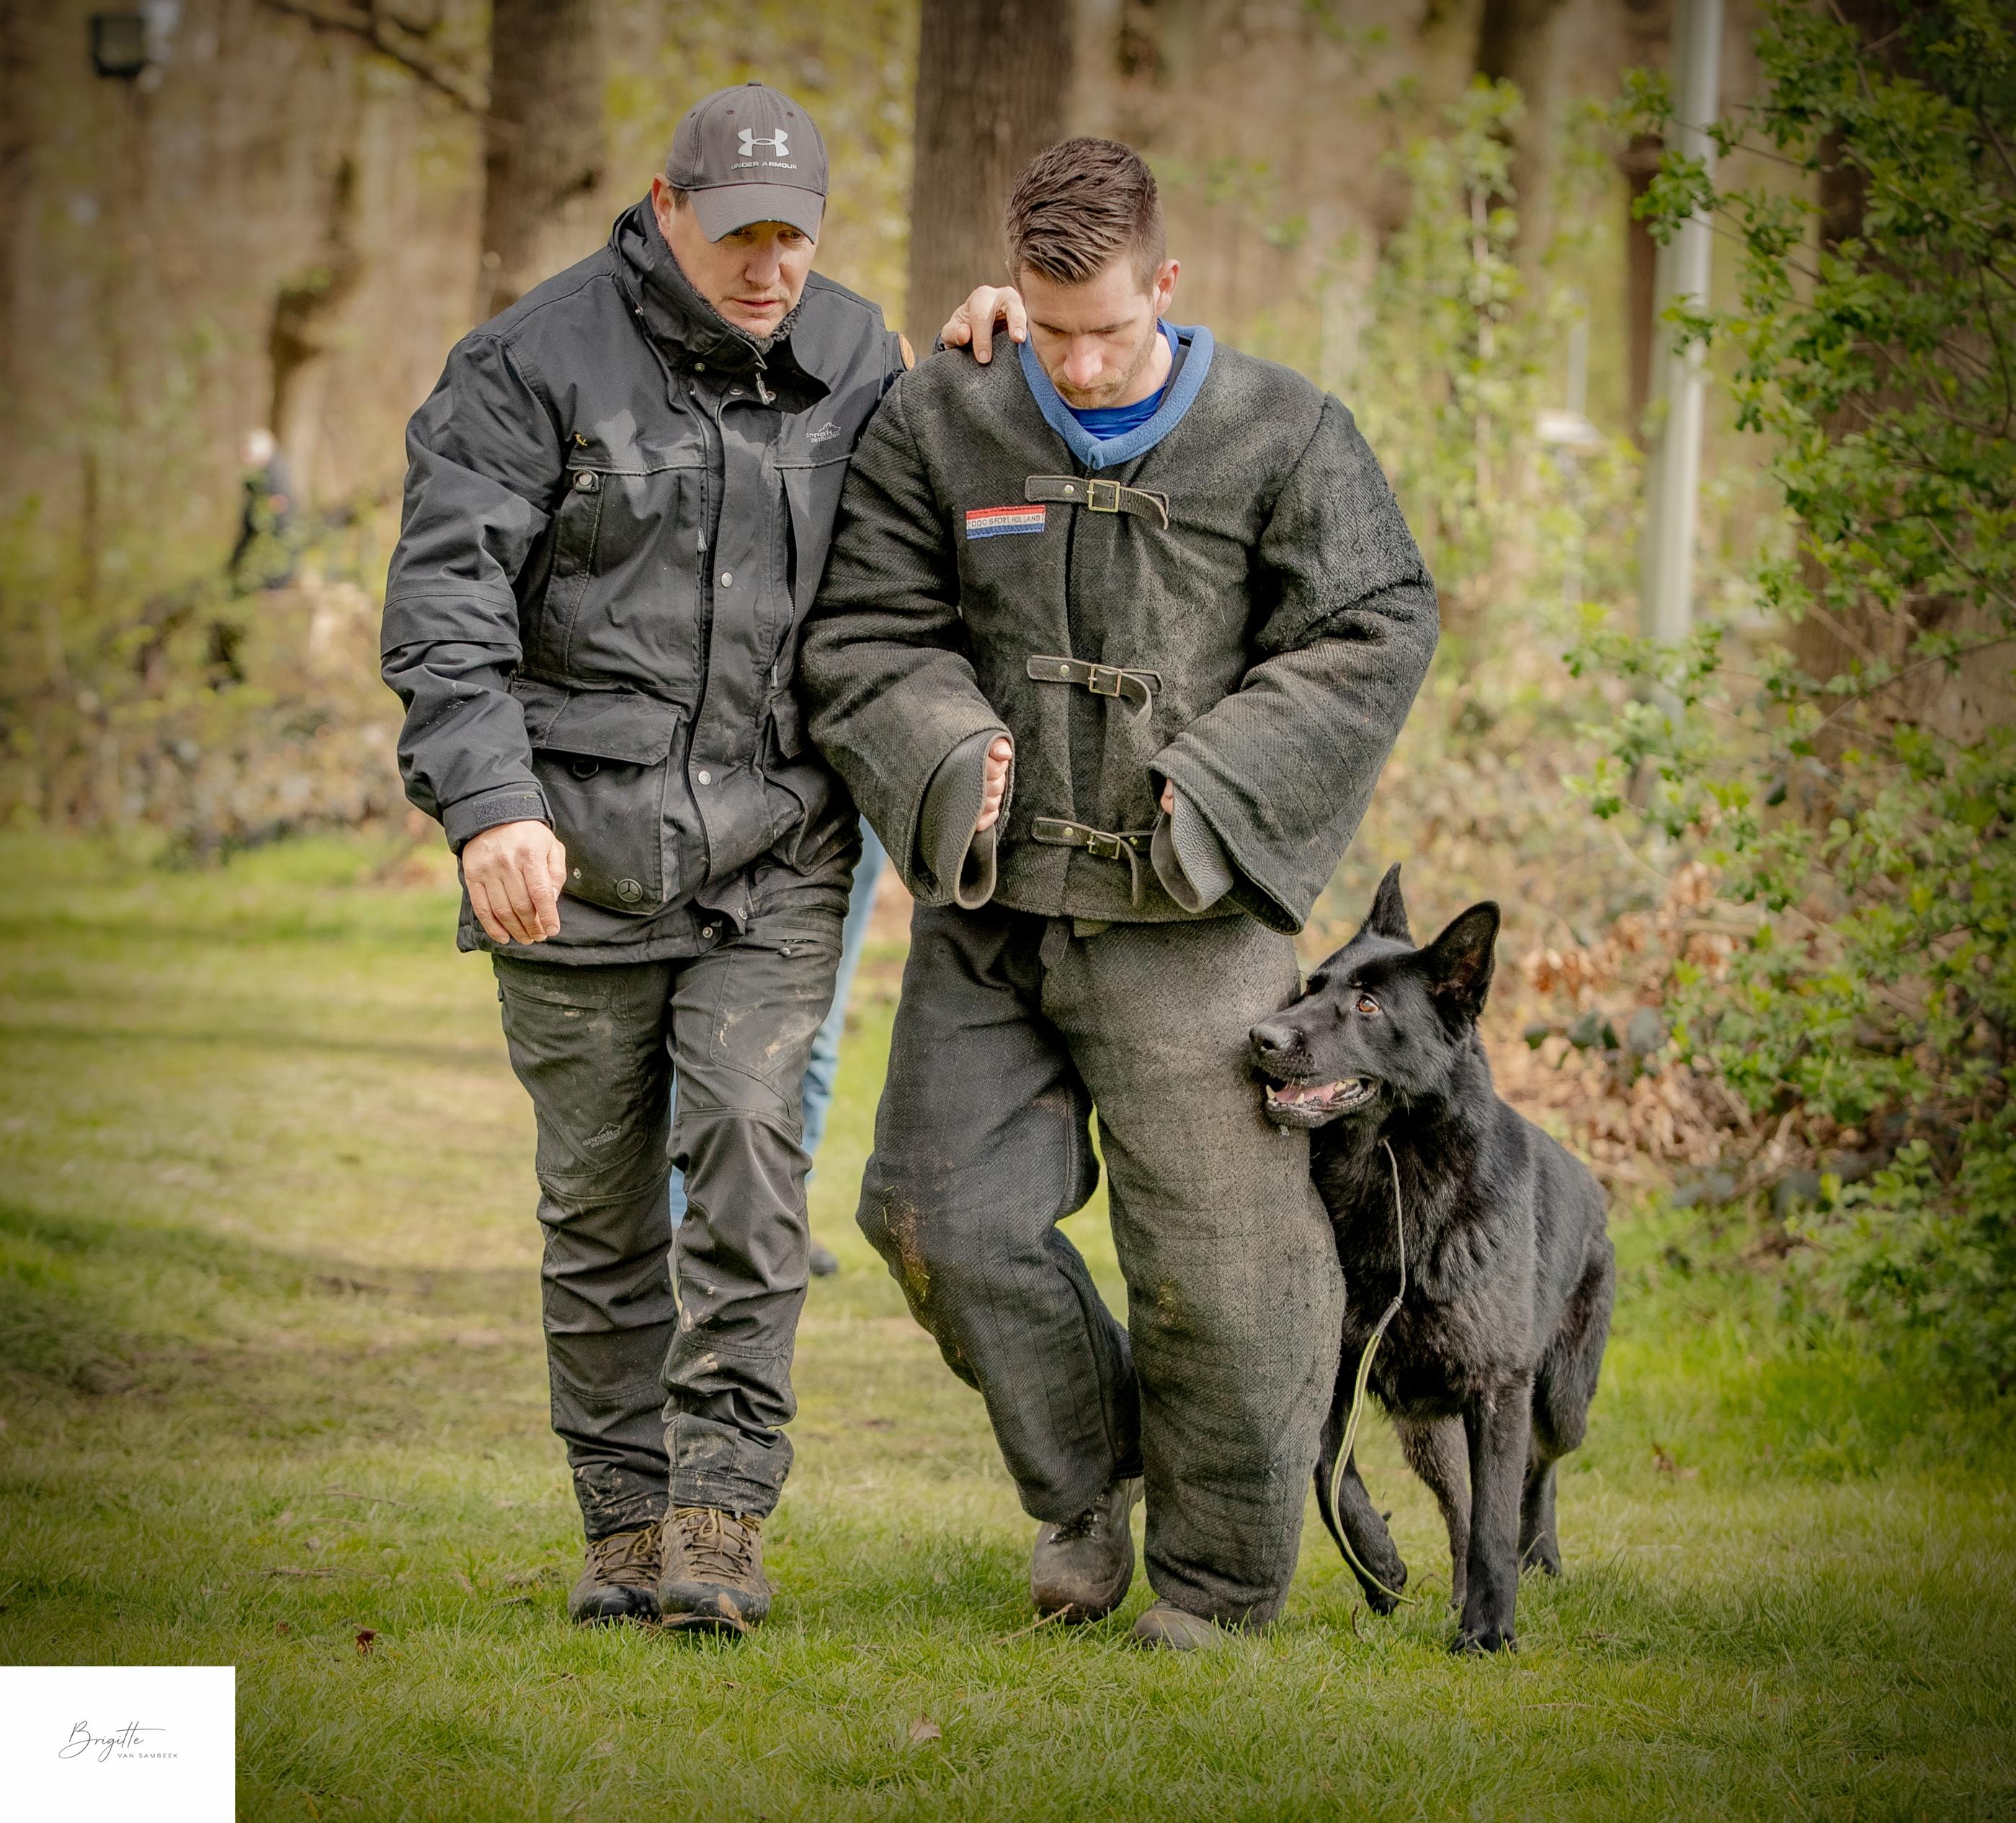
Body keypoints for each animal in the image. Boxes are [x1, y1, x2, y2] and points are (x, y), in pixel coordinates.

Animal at [1249, 864, 1614, 1653]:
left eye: (1366, 1005)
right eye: (1310, 987)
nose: (1260, 1036)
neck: (1391, 1176)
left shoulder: (1499, 1389)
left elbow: (1495, 1525)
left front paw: (1489, 1634)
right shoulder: (1335, 1376)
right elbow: (1326, 1477)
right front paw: (1381, 1567)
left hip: (1557, 1402)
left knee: (1536, 1474)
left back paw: (1538, 1559)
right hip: (1432, 1429)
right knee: (1461, 1503)